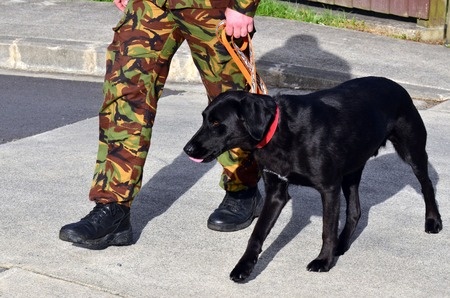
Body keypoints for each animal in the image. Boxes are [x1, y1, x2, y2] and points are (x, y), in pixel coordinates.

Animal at [184, 76, 442, 282]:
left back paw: (433, 221)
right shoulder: (276, 192)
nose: (187, 149)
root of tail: (396, 85)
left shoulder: (329, 188)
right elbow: (256, 233)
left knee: (427, 185)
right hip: (351, 170)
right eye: (204, 118)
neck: (278, 130)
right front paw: (243, 267)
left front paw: (323, 262)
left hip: (412, 152)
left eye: (217, 123)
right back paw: (342, 244)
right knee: (355, 210)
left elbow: (327, 230)